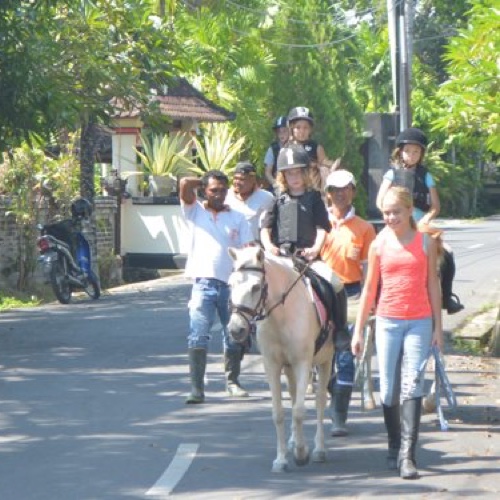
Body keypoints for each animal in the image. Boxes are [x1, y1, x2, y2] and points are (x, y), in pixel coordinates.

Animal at [229, 246, 334, 472]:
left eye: (256, 286)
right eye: (230, 284)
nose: (235, 330)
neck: (282, 315)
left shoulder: (303, 363)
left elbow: (300, 411)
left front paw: (302, 453)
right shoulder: (273, 365)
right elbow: (278, 413)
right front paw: (281, 459)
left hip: (326, 361)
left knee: (320, 400)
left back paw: (319, 449)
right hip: (289, 368)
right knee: (294, 396)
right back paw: (294, 440)